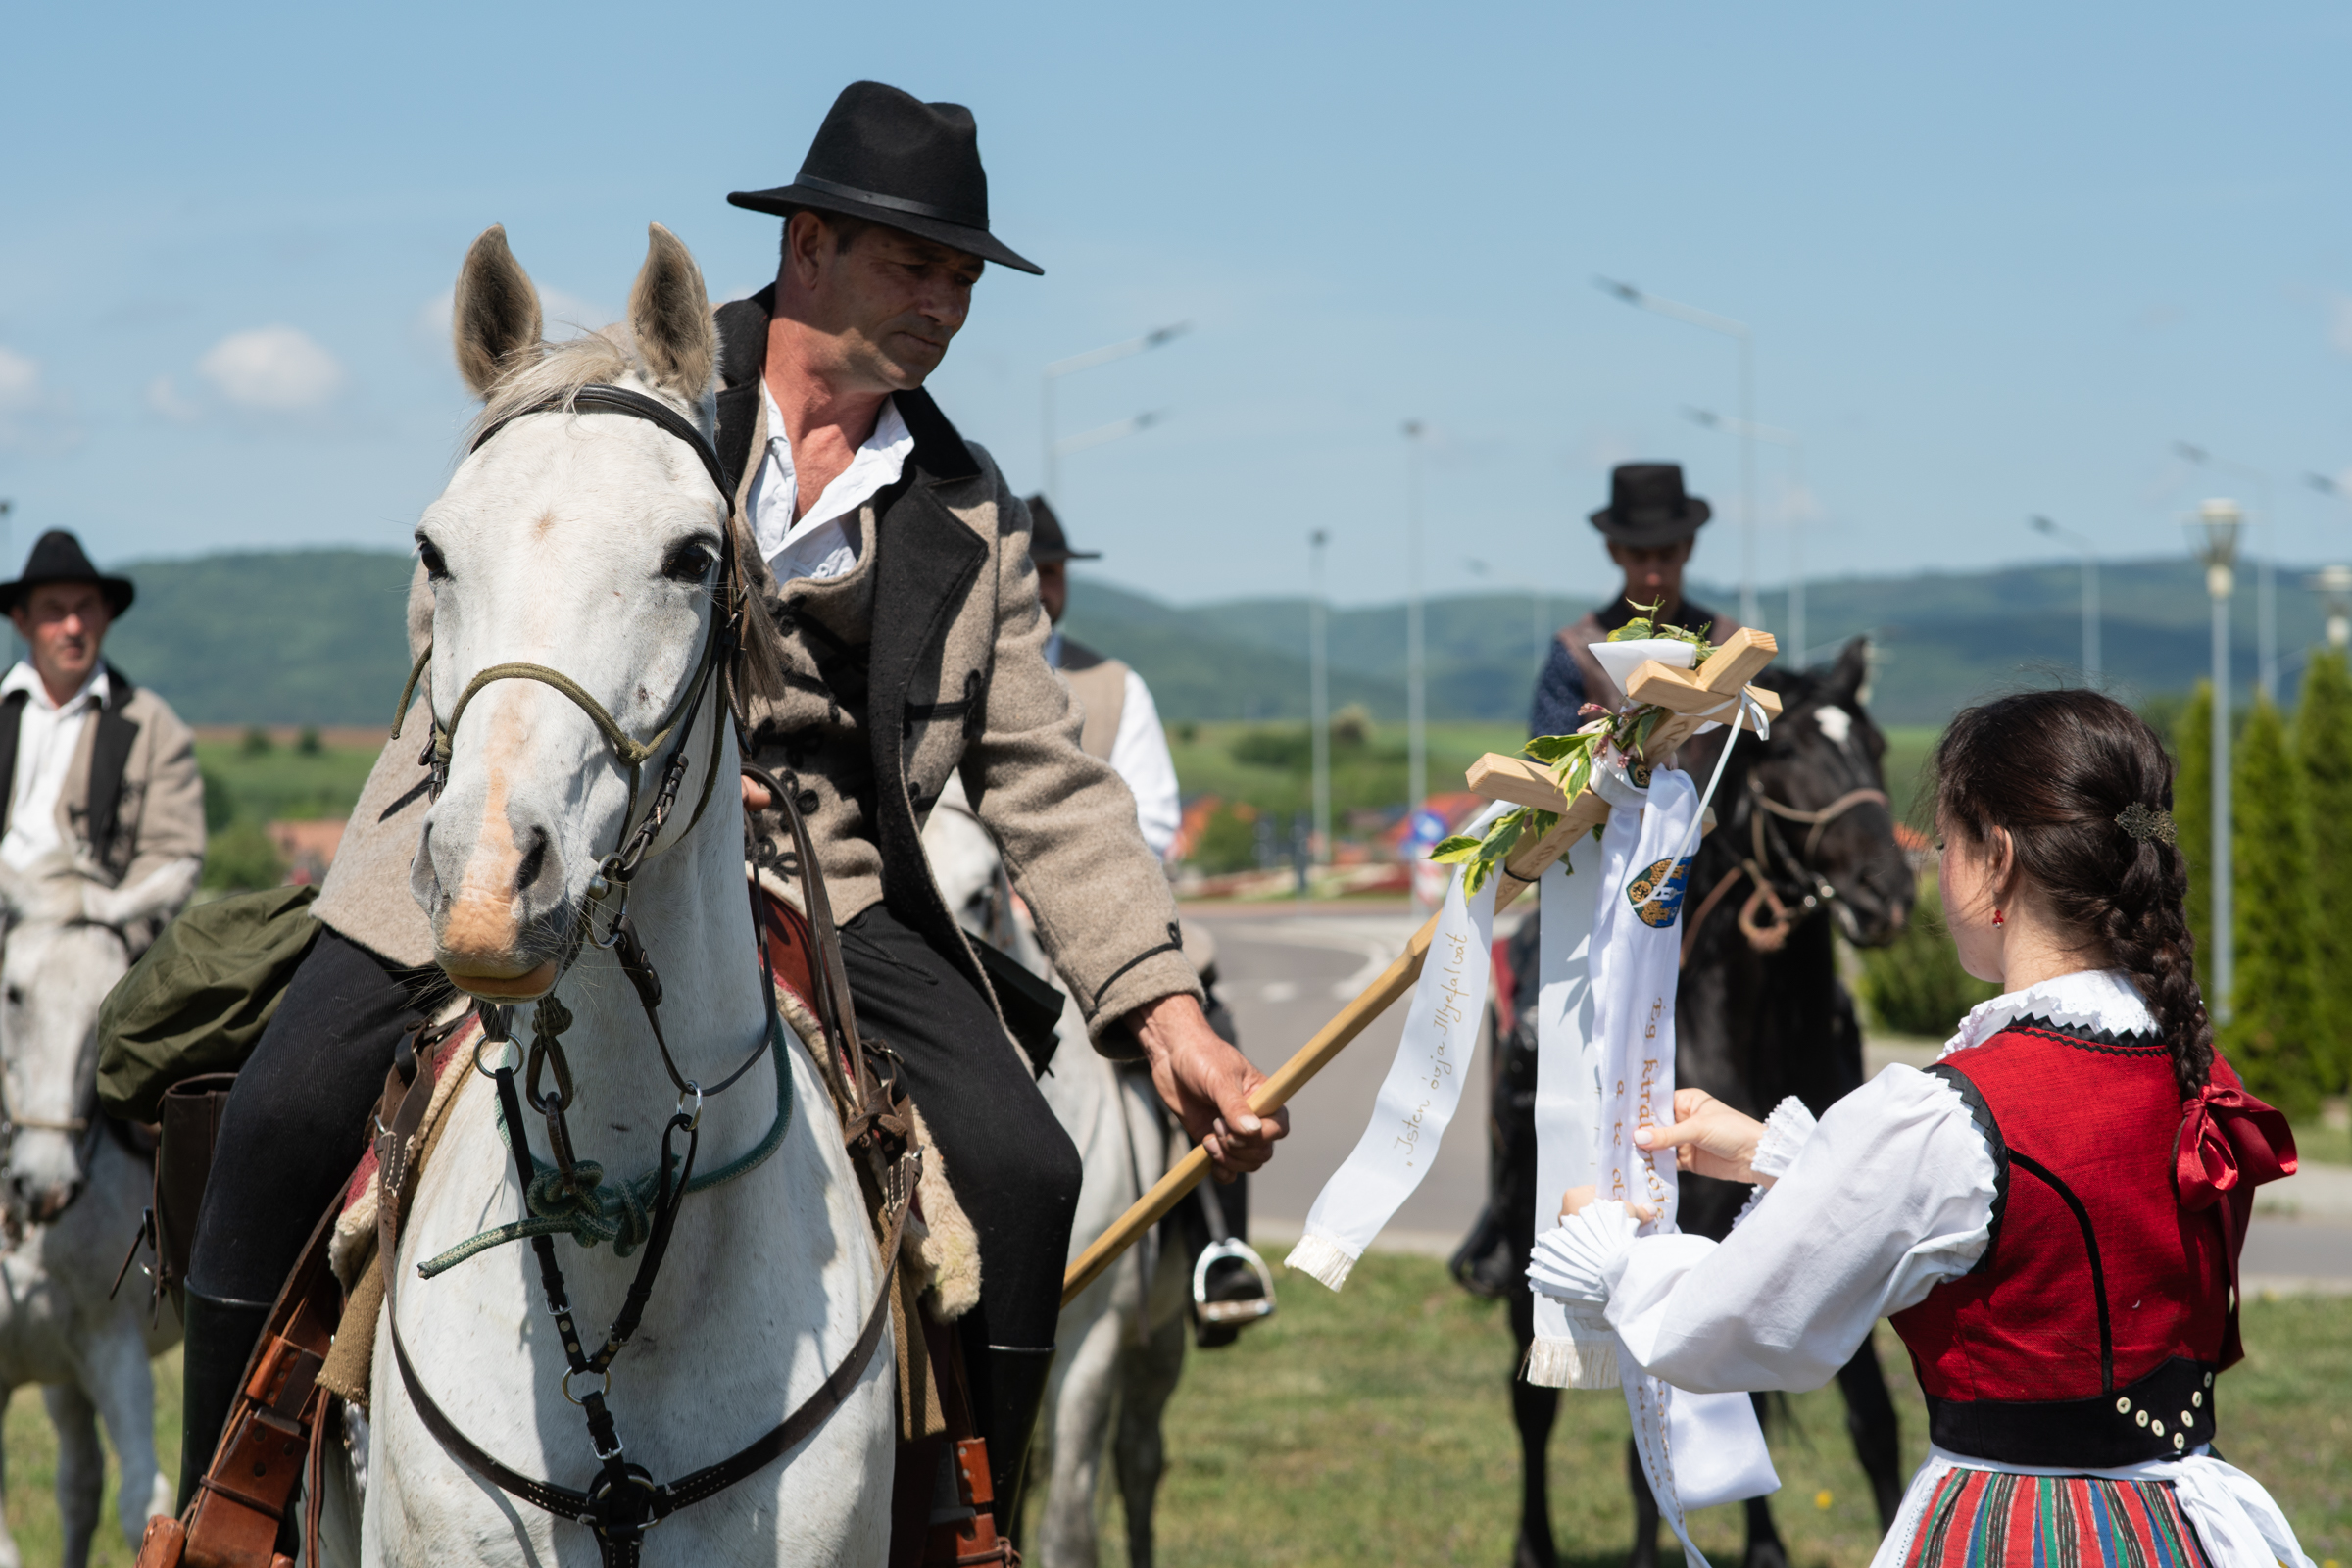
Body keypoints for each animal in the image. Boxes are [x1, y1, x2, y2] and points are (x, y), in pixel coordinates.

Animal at [1448, 639, 1929, 1568]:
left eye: (1876, 746)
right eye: (1785, 754)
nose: (1885, 895)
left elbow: (1868, 1419)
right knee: (1533, 1403)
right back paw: (1536, 1545)